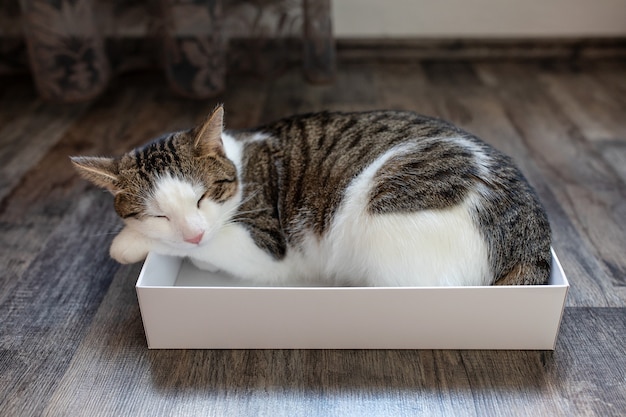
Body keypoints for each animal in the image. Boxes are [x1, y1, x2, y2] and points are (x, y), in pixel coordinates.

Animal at [73, 105, 548, 284]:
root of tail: (529, 234)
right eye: (158, 213)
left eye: (203, 197)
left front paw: (127, 243)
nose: (193, 232)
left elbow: (205, 248)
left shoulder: (269, 249)